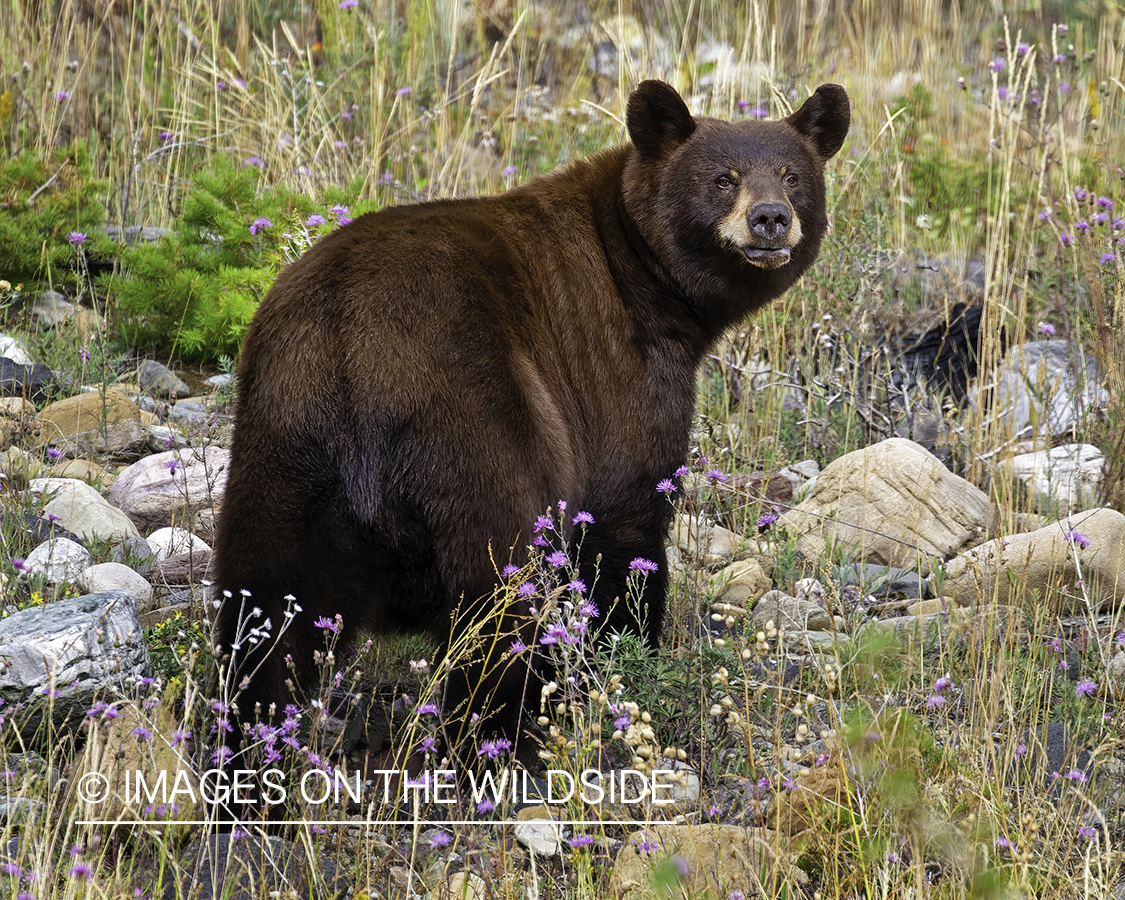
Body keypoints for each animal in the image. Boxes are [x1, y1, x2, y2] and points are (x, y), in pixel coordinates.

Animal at [211, 81, 846, 774]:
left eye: (791, 174)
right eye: (723, 178)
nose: (771, 218)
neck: (640, 269)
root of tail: (354, 351)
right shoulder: (619, 366)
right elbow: (627, 514)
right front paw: (626, 657)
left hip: (285, 445)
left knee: (263, 613)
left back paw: (245, 747)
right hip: (480, 428)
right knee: (502, 595)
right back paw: (503, 741)